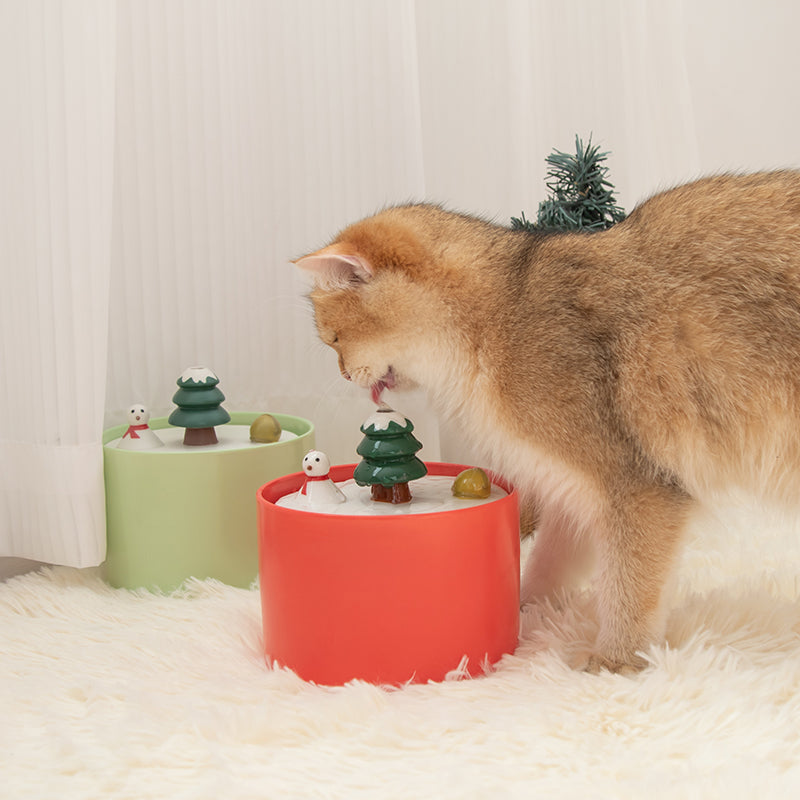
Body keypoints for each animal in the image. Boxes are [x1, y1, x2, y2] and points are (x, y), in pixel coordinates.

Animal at [296, 172, 800, 672]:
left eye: (336, 339)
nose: (345, 375)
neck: (499, 316)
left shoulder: (636, 484)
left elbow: (629, 583)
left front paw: (617, 657)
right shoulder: (574, 488)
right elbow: (549, 561)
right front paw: (519, 605)